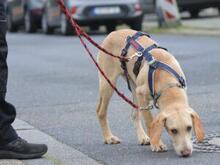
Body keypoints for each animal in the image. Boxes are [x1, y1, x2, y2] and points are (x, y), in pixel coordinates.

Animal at [96, 29, 205, 157]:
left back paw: (142, 137)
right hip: (108, 82)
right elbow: (150, 122)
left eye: (189, 128)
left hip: (134, 87)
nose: (186, 153)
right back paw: (109, 137)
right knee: (101, 111)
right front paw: (157, 144)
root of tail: (113, 32)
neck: (167, 83)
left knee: (134, 114)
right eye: (173, 130)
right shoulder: (142, 95)